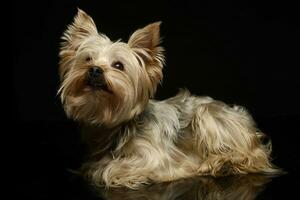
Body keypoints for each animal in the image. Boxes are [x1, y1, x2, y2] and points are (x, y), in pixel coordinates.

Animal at [58, 8, 278, 188]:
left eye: (118, 65)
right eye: (87, 59)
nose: (95, 69)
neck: (118, 125)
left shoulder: (156, 159)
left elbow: (103, 170)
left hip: (208, 114)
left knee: (254, 157)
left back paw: (221, 163)